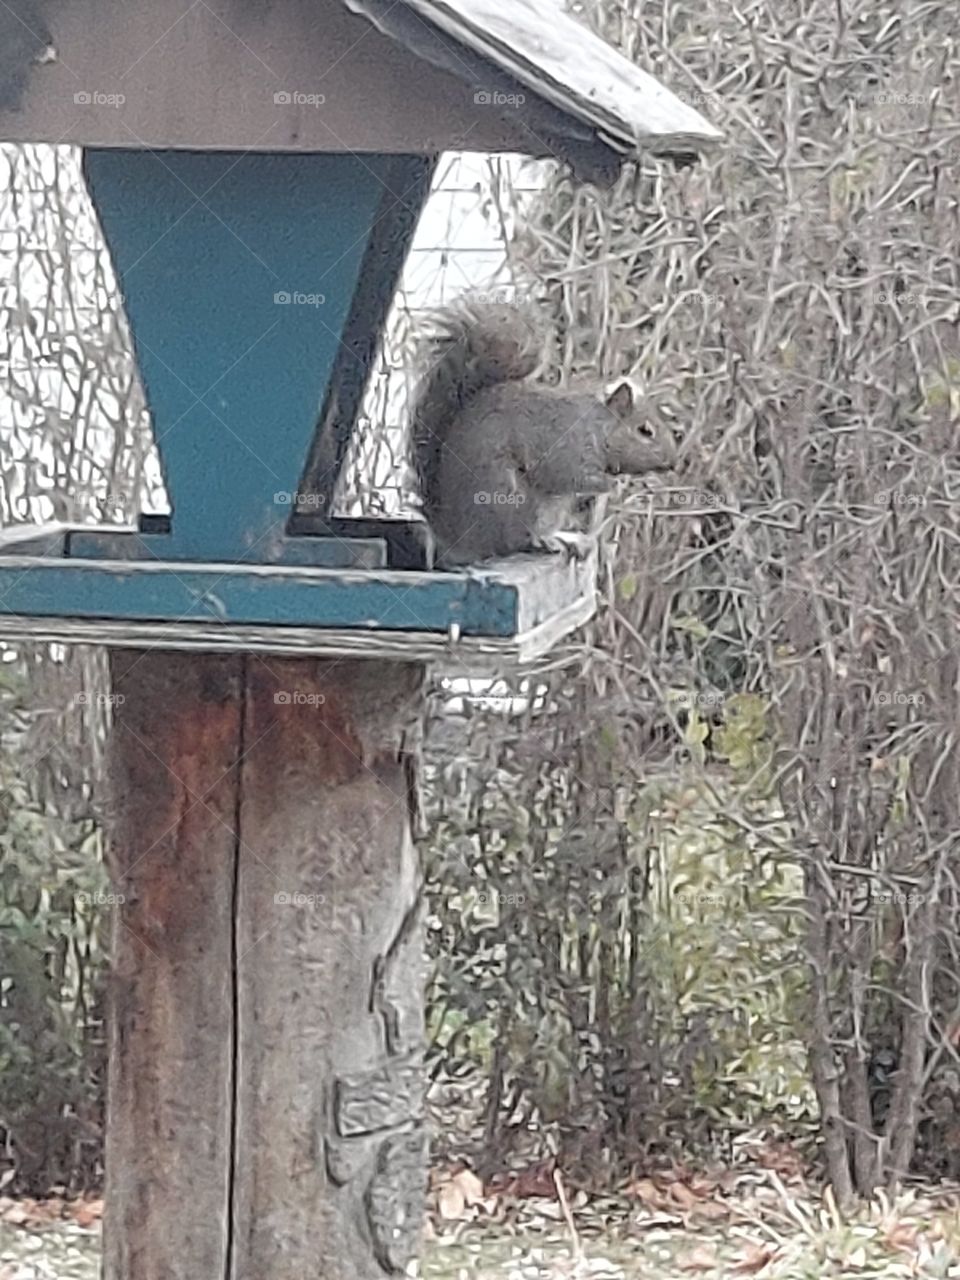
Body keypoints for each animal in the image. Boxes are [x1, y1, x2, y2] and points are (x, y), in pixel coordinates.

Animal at [410, 298, 675, 567]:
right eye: (645, 431)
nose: (671, 463)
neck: (597, 426)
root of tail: (451, 537)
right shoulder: (565, 446)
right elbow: (566, 475)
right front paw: (610, 484)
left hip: (549, 510)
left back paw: (559, 540)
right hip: (511, 500)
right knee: (510, 543)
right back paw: (543, 544)